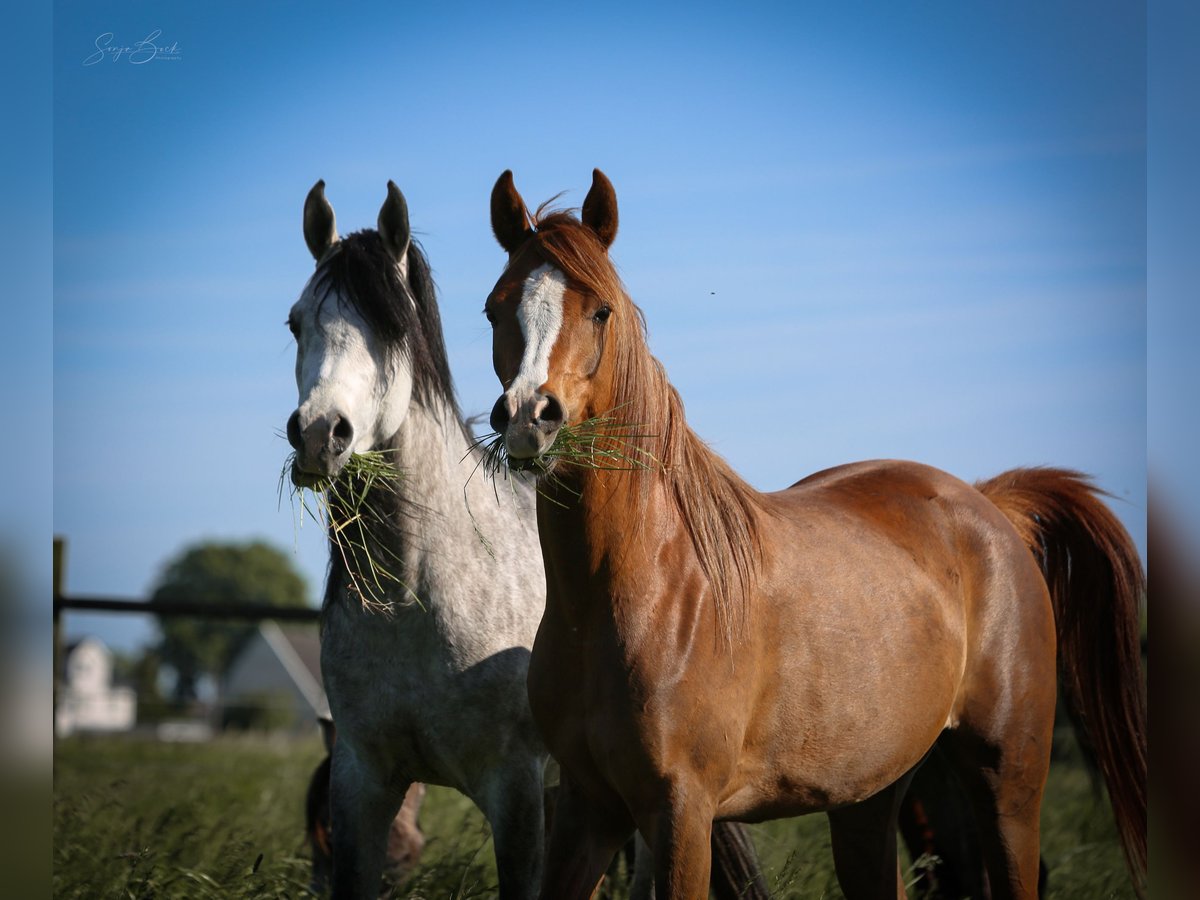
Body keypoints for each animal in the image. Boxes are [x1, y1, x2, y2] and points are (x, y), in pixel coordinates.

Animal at [285, 179, 770, 899]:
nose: (321, 434)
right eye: (296, 323)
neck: (416, 597)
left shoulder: (512, 787)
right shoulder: (362, 779)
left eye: (392, 330)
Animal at [482, 168, 1147, 900]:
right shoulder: (586, 807)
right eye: (493, 309)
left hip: (1009, 787)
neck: (641, 592)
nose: (529, 418)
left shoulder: (682, 812)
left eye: (600, 310)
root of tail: (990, 505)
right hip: (869, 800)